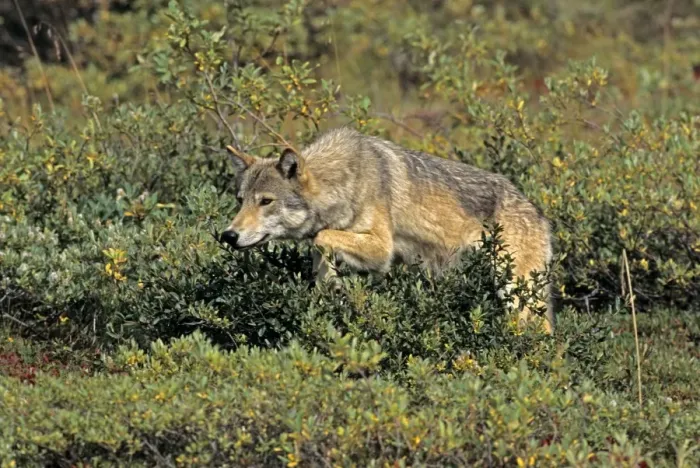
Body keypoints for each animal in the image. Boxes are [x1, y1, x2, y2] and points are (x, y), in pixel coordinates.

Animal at [220, 127, 554, 333]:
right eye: (239, 200)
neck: (345, 182)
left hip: (516, 296)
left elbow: (321, 237)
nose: (228, 236)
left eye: (265, 201)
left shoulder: (382, 250)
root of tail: (539, 214)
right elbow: (321, 253)